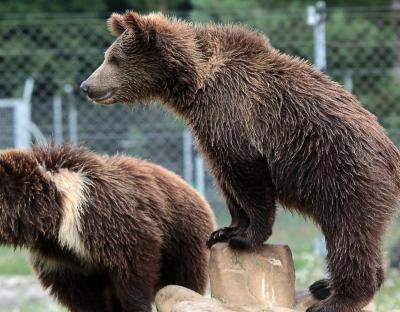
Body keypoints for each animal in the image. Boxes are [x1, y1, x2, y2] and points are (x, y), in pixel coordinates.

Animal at [0, 145, 216, 312]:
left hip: (183, 237)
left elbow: (134, 264)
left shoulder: (99, 217)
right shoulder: (61, 257)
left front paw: (136, 305)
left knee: (184, 280)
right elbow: (84, 295)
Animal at [80, 11, 400, 312]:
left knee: (349, 236)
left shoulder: (236, 115)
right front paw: (224, 231)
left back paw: (334, 299)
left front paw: (246, 237)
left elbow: (249, 178)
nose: (86, 85)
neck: (195, 85)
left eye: (114, 59)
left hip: (347, 176)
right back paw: (325, 286)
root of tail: (391, 153)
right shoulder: (211, 129)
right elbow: (226, 178)